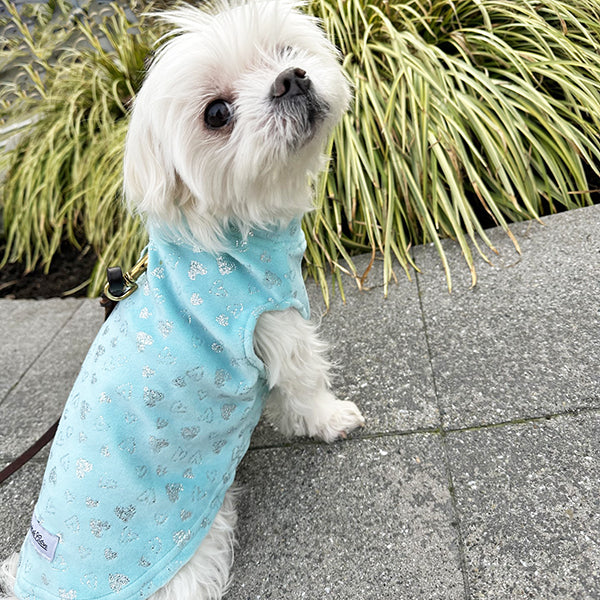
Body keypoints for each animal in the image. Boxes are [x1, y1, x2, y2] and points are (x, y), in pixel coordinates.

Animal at [0, 1, 364, 600]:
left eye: (284, 51)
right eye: (216, 113)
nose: (291, 79)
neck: (235, 227)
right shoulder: (275, 325)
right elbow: (305, 384)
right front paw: (331, 419)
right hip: (188, 556)